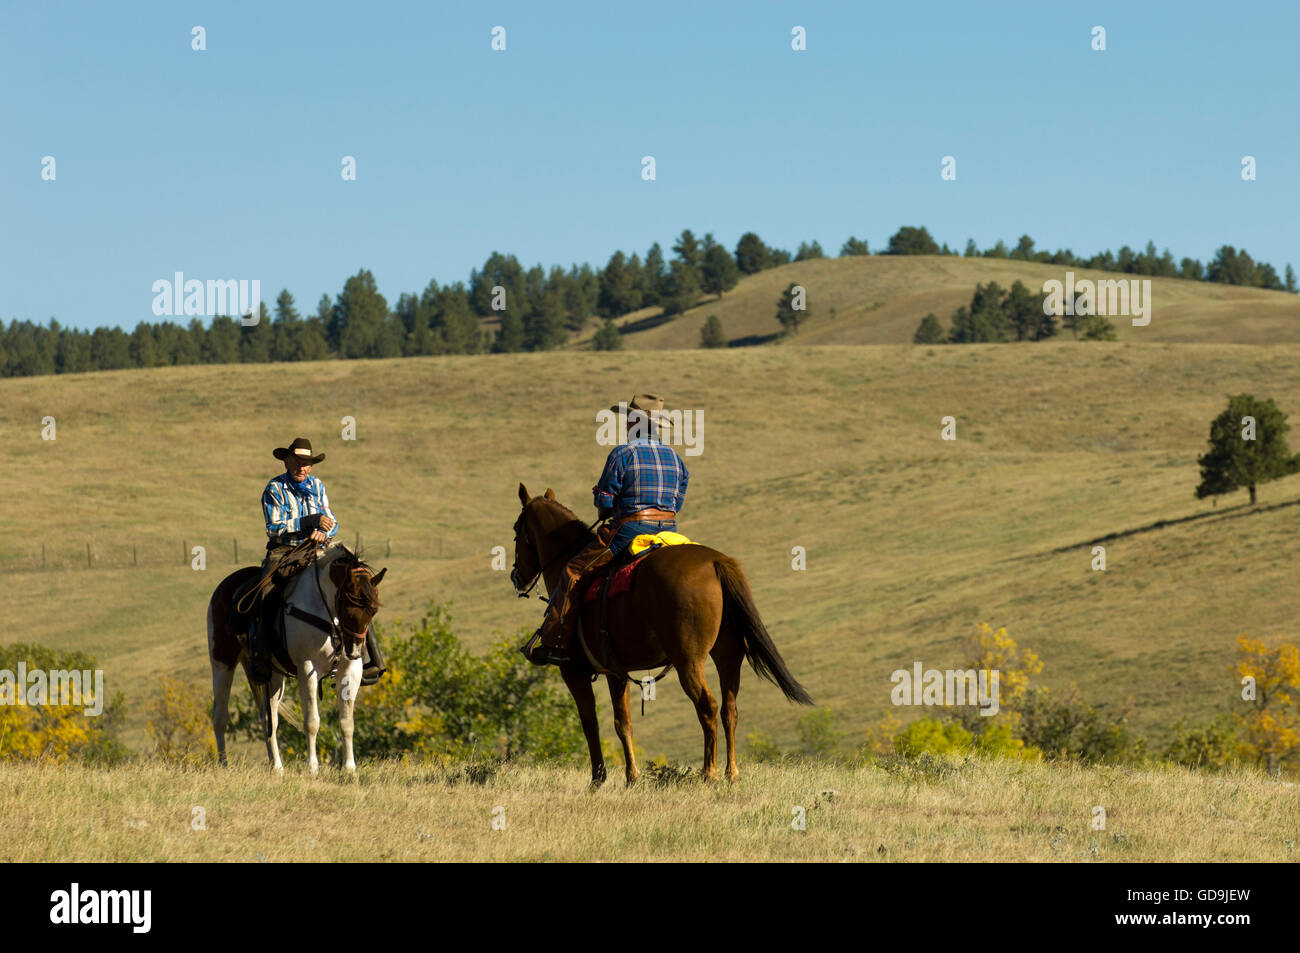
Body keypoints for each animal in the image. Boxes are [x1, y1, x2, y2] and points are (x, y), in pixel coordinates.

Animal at [509, 486, 806, 785]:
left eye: (516, 531)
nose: (516, 577)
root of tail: (715, 562)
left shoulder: (573, 671)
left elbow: (590, 724)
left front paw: (597, 780)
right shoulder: (616, 672)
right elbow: (622, 723)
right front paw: (631, 778)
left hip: (689, 662)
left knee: (708, 707)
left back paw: (709, 774)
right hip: (728, 655)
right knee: (728, 709)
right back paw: (731, 773)